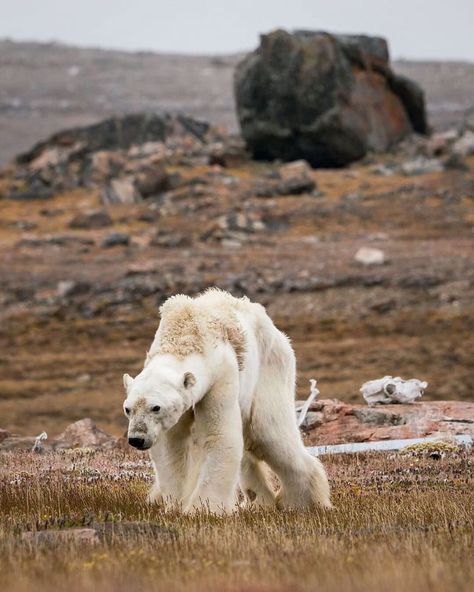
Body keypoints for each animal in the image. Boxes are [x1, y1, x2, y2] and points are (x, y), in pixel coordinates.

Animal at [122, 288, 330, 512]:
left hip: (269, 370)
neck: (185, 337)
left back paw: (302, 502)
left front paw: (202, 509)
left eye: (156, 407)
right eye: (128, 409)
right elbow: (172, 444)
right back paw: (256, 503)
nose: (136, 439)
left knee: (269, 434)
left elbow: (219, 436)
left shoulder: (221, 377)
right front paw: (175, 506)